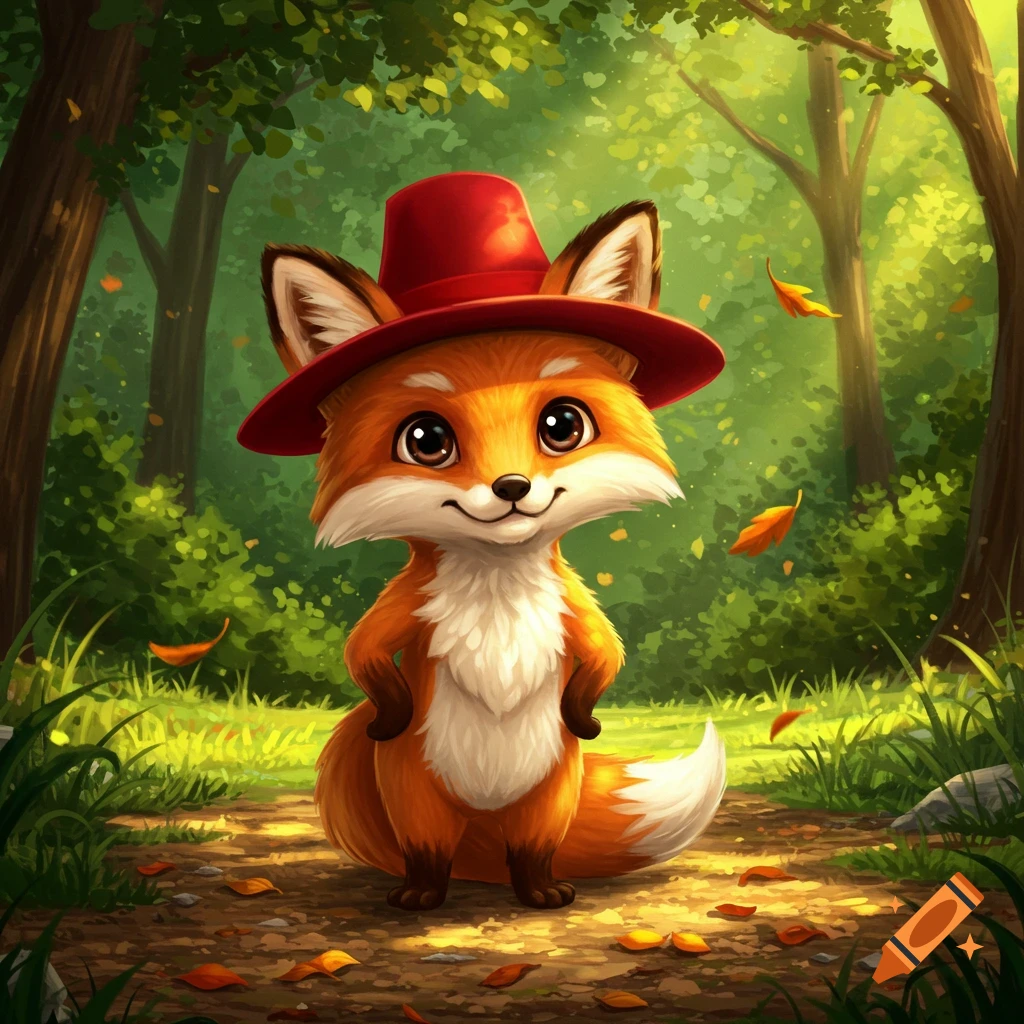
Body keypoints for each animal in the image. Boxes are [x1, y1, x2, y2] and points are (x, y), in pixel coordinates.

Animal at [248, 174, 727, 911]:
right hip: (418, 794)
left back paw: (541, 890)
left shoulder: (574, 610)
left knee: (531, 851)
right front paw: (387, 708)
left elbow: (605, 655)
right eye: (426, 440)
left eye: (562, 425)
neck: (497, 590)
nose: (511, 487)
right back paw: (422, 895)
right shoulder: (404, 609)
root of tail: (486, 813)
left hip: (549, 795)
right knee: (429, 853)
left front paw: (586, 714)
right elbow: (362, 653)